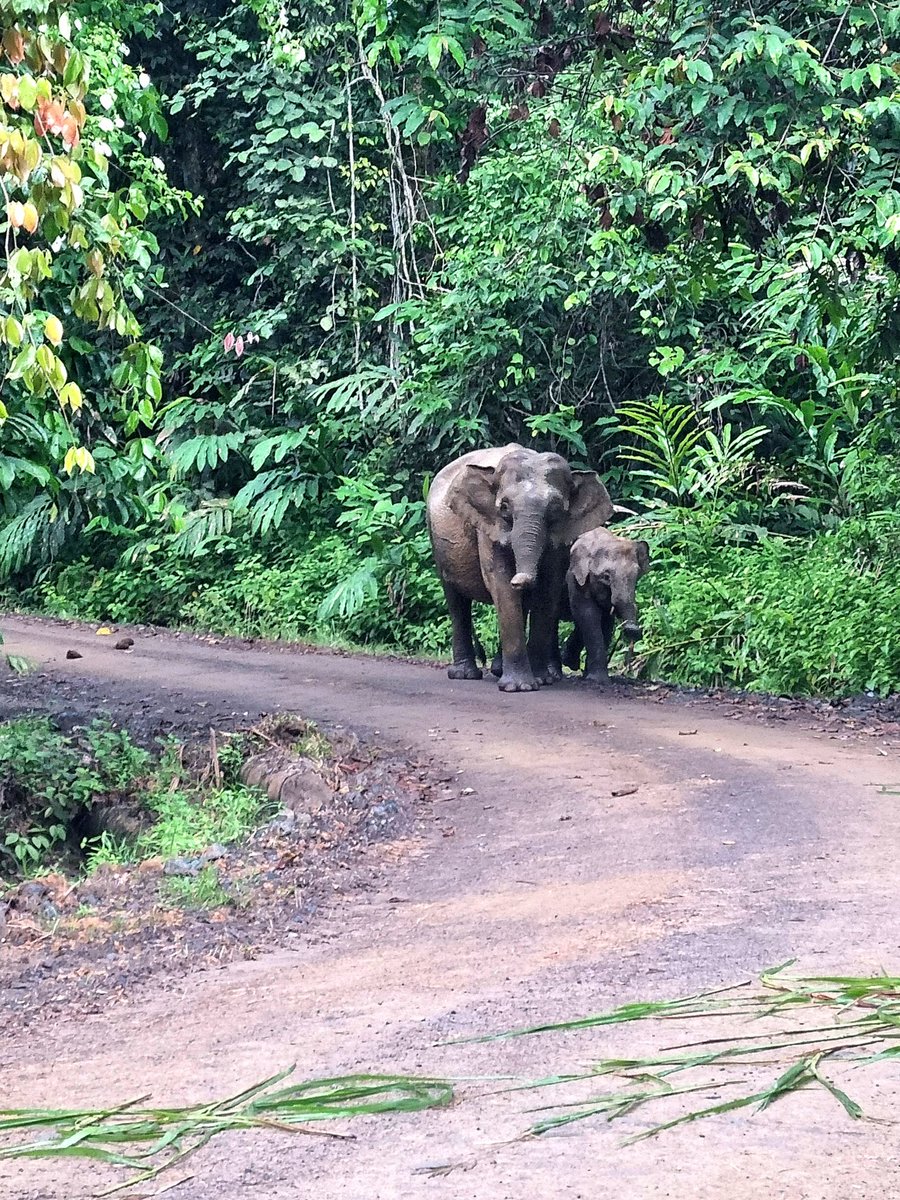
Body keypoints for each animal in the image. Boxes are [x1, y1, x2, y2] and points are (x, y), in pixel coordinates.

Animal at [427, 443, 613, 692]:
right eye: (504, 507)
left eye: (555, 510)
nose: (521, 578)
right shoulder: (488, 527)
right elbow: (501, 584)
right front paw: (519, 687)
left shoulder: (563, 535)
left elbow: (548, 588)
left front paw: (542, 680)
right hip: (438, 543)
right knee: (457, 602)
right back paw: (465, 675)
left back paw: (498, 670)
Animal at [561, 527, 650, 684]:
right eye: (606, 577)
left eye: (636, 575)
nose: (633, 629)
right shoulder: (574, 577)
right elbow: (588, 615)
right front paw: (597, 679)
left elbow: (606, 623)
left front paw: (589, 675)